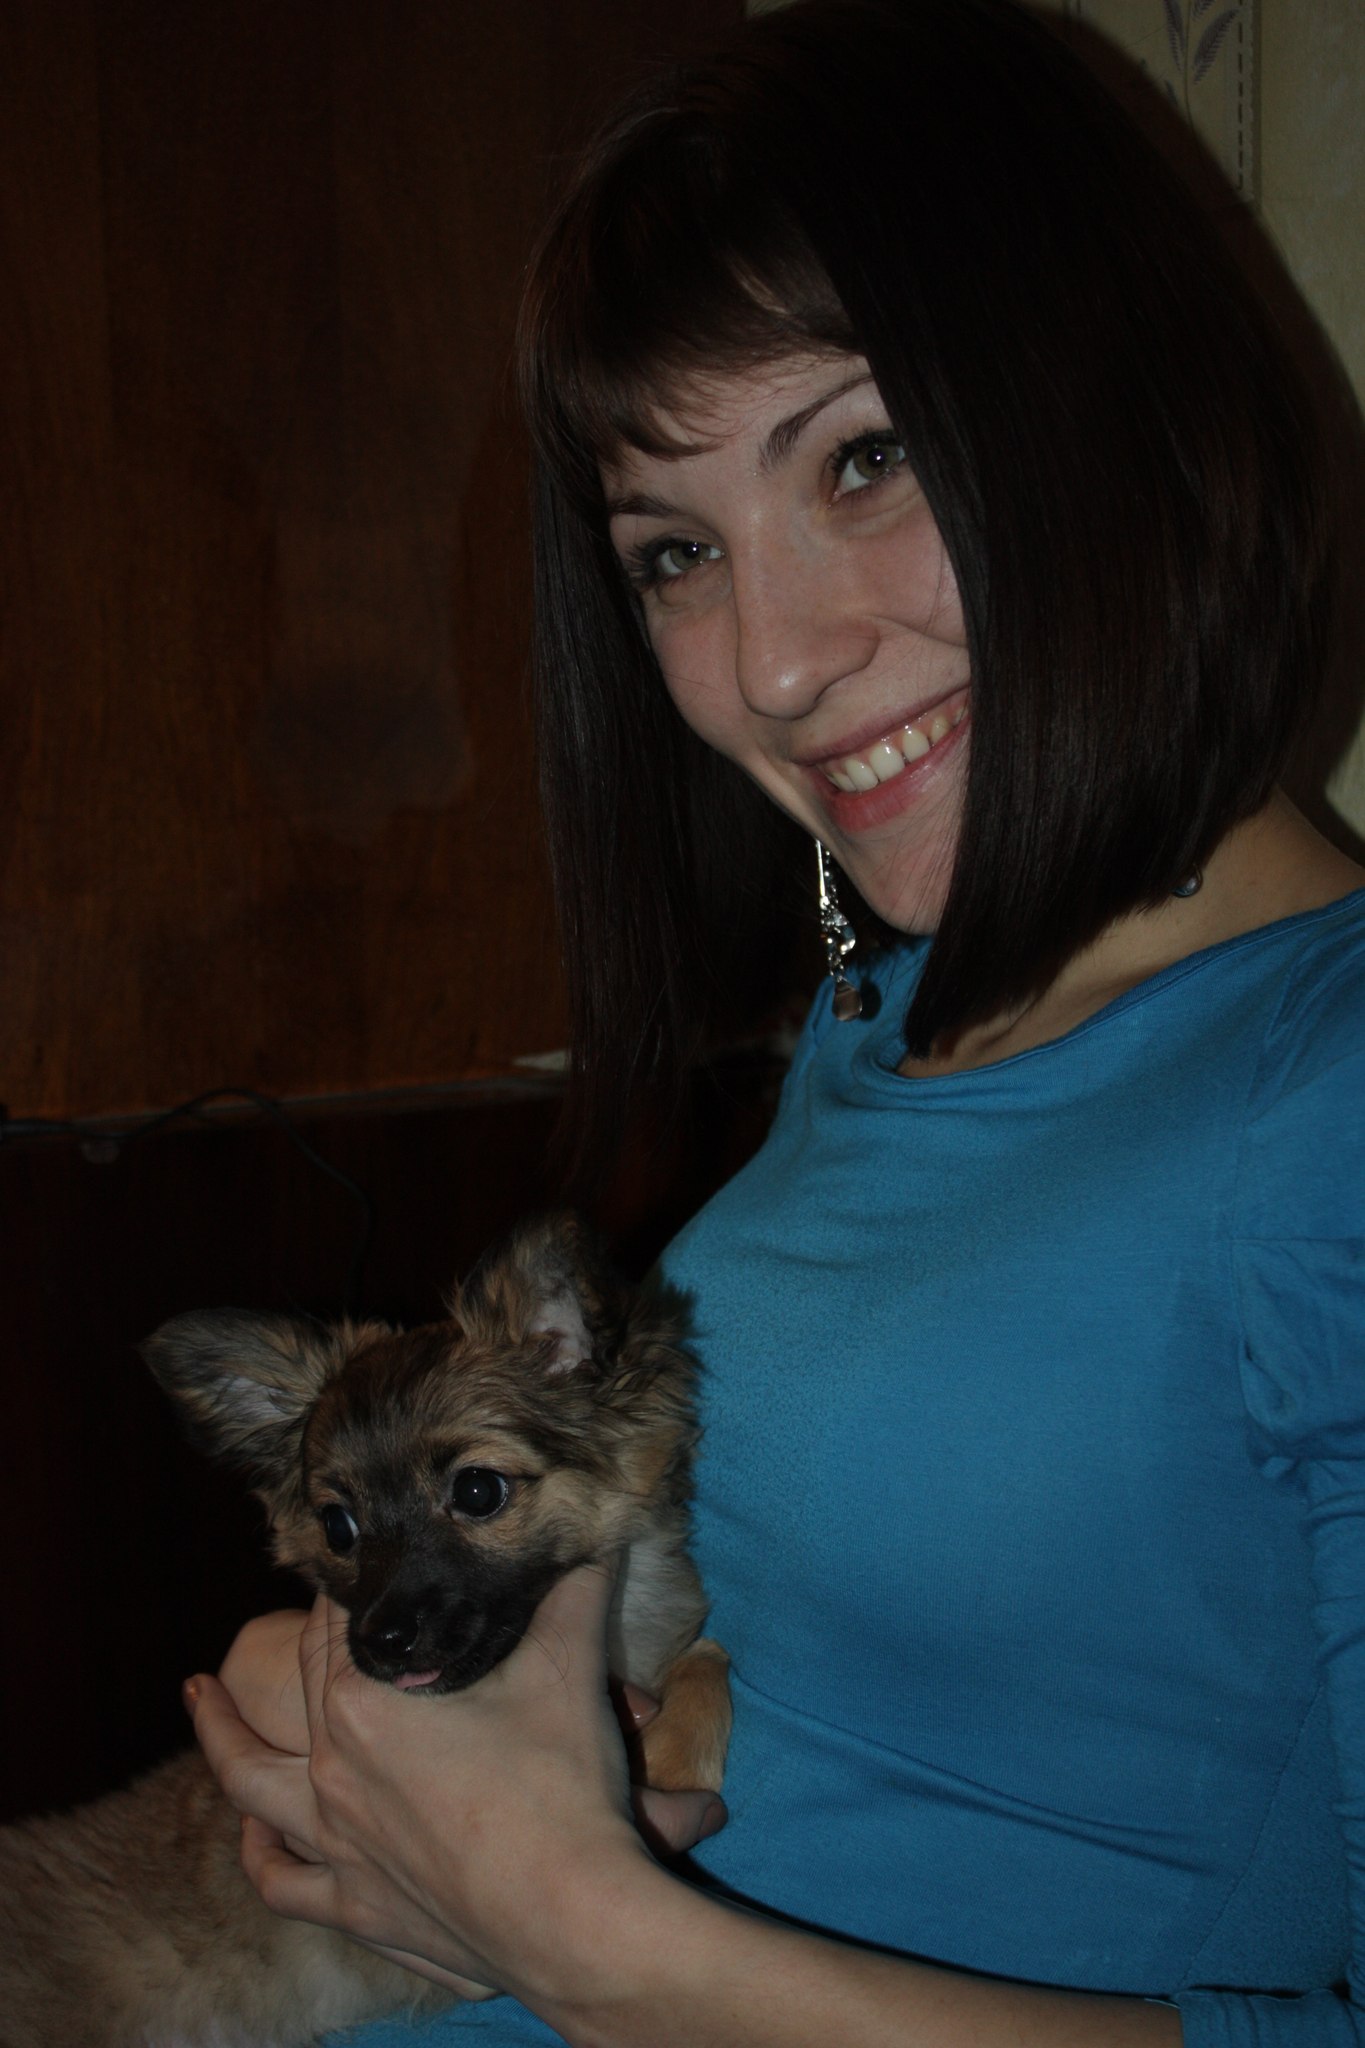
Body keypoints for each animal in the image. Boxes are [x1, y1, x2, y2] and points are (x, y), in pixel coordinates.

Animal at [0, 1214, 730, 2048]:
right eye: (336, 1527)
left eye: (477, 1491)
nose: (382, 1642)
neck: (618, 1631)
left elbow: (709, 1657)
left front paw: (673, 1749)